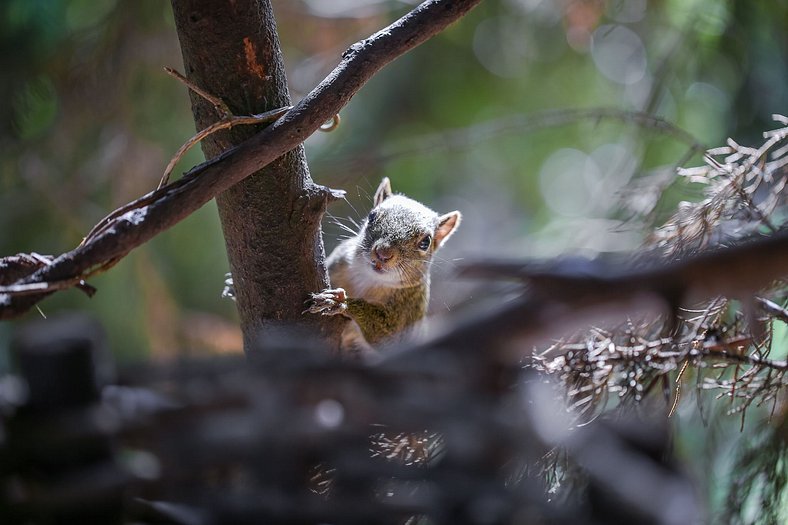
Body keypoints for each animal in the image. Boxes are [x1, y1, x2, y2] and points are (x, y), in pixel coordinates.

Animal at [306, 176, 462, 352]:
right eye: (372, 216)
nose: (383, 253)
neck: (369, 278)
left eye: (425, 242)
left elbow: (388, 338)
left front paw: (341, 302)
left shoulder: (409, 310)